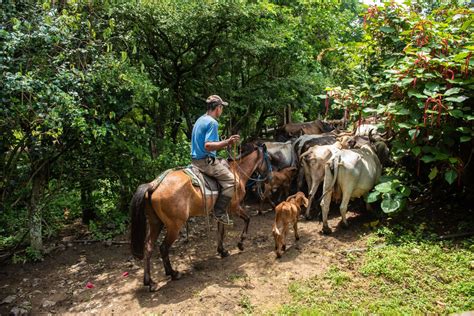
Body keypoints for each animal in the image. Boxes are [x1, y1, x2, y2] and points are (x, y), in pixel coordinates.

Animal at [130, 143, 270, 292]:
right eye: (269, 159)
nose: (269, 178)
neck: (236, 173)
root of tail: (153, 185)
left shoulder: (221, 212)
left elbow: (221, 231)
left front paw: (222, 251)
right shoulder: (235, 207)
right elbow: (247, 219)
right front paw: (241, 244)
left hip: (155, 223)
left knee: (148, 247)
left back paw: (150, 282)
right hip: (174, 226)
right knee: (163, 248)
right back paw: (173, 273)